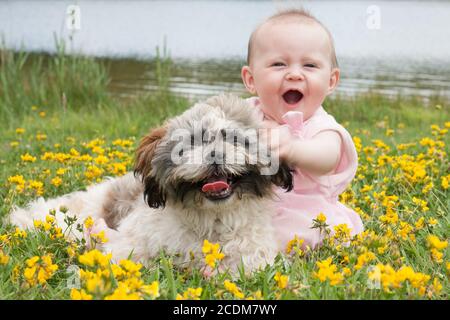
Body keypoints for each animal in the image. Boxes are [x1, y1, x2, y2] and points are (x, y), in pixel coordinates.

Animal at [9, 94, 296, 272]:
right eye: (190, 143)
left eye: (236, 140)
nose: (215, 154)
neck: (211, 221)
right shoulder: (127, 248)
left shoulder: (252, 256)